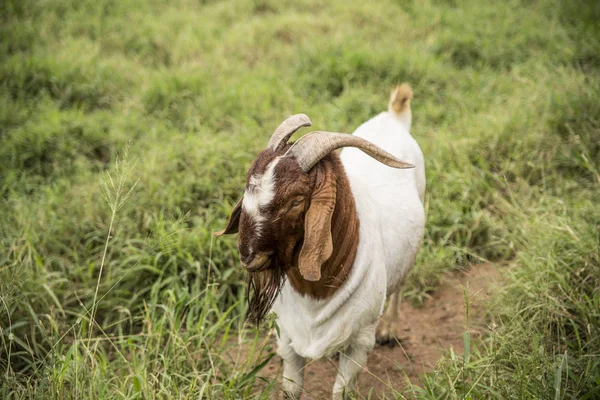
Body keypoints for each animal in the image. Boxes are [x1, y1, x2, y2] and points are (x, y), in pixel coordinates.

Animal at [218, 83, 424, 398]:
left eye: (296, 201)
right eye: (247, 189)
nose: (248, 256)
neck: (315, 295)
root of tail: (393, 117)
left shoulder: (361, 342)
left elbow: (342, 390)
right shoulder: (287, 339)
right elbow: (291, 388)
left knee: (400, 286)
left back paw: (389, 329)